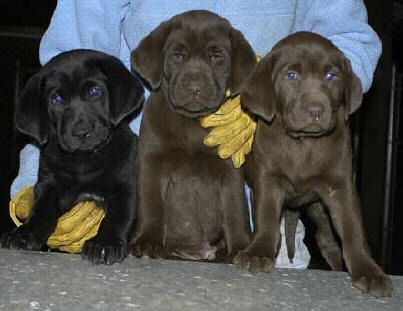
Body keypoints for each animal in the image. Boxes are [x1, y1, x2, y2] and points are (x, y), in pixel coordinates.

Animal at [0, 49, 144, 266]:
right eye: (57, 99)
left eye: (95, 91)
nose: (81, 133)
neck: (84, 162)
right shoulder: (48, 184)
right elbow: (41, 209)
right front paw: (25, 233)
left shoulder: (126, 185)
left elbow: (119, 215)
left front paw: (105, 243)